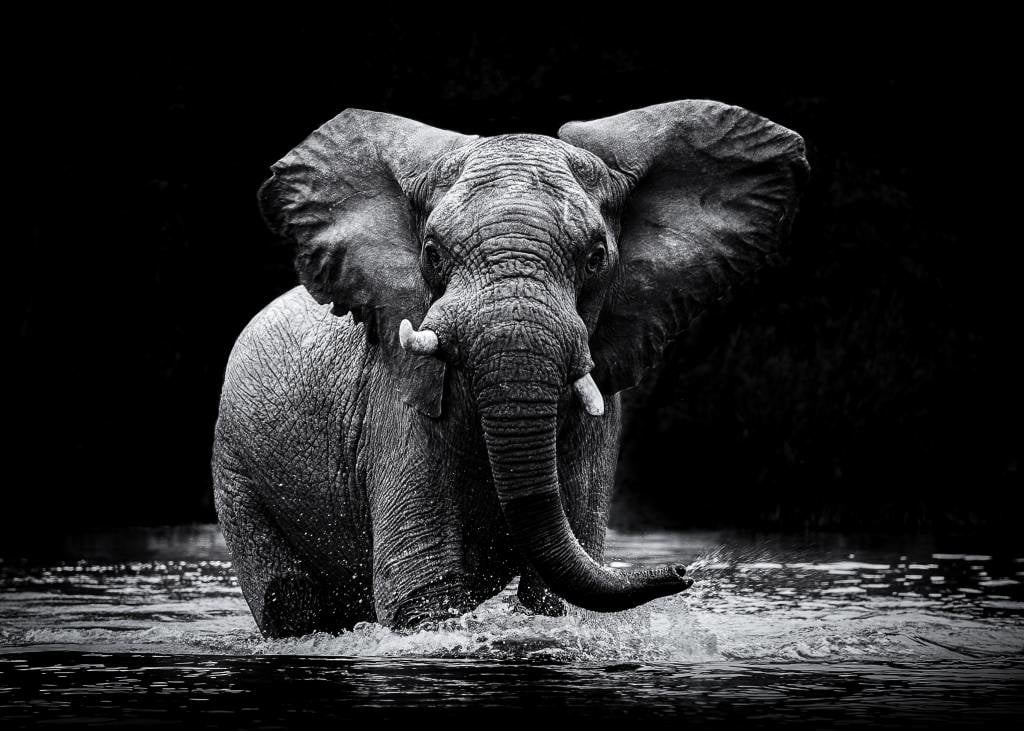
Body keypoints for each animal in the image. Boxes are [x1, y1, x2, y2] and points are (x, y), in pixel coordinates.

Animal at [212, 100, 808, 637]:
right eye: (431, 252)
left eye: (596, 256)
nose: (685, 571)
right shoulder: (399, 399)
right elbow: (421, 592)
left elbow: (554, 596)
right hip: (235, 469)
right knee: (287, 604)